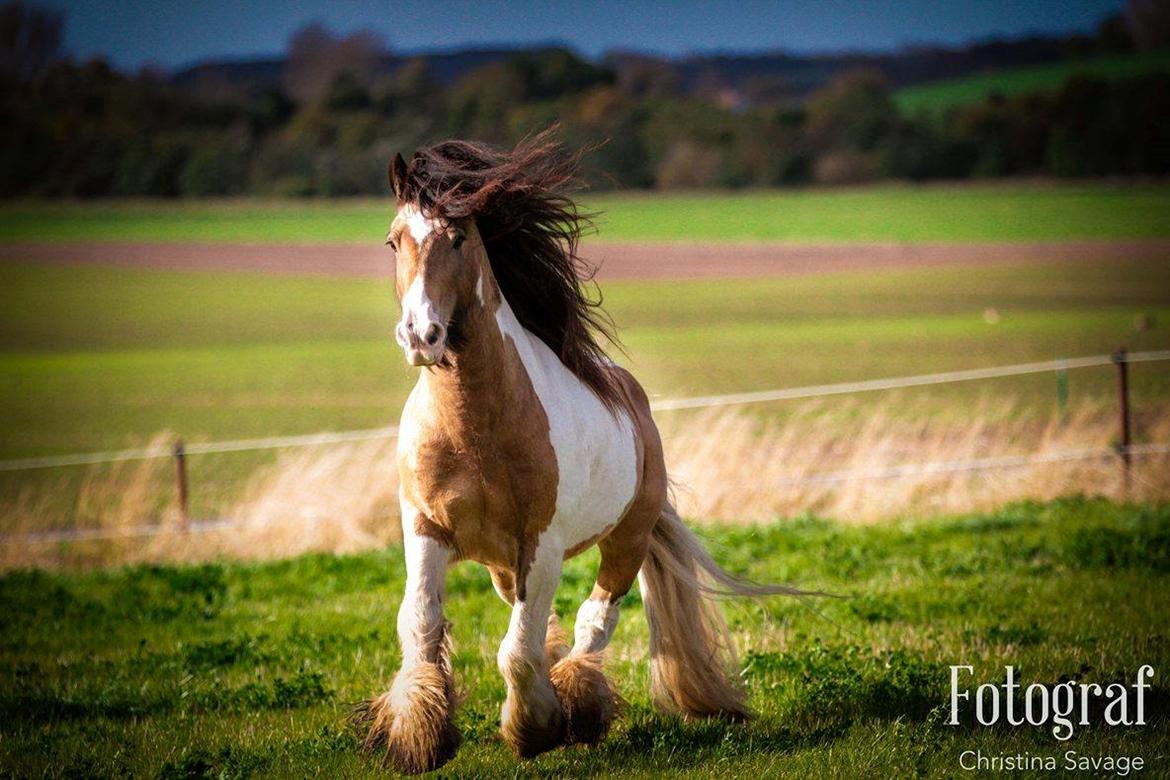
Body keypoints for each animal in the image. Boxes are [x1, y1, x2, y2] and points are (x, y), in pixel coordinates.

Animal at [353, 130, 804, 771]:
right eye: (394, 240)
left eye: (458, 236)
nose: (421, 334)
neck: (474, 430)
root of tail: (636, 403)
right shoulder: (425, 528)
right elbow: (420, 622)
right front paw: (418, 737)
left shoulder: (540, 544)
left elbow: (515, 651)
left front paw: (535, 729)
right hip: (502, 565)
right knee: (545, 622)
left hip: (625, 540)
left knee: (594, 619)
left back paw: (579, 706)